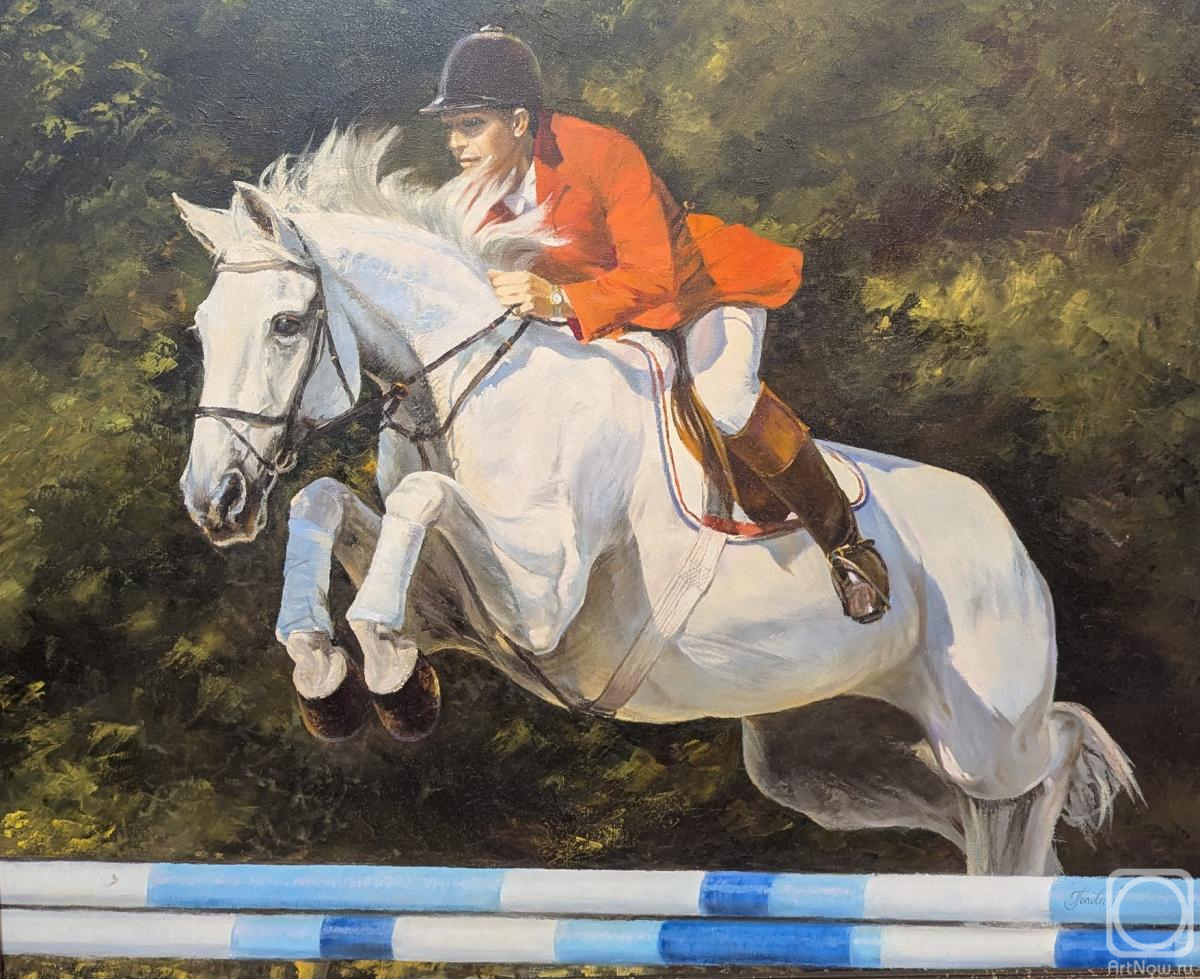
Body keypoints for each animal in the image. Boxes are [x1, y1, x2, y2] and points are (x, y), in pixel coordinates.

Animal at [175, 128, 1138, 875]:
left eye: (286, 324)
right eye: (202, 328)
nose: (213, 499)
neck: (474, 381)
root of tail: (1007, 535)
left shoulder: (540, 605)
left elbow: (420, 494)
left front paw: (379, 665)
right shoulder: (462, 615)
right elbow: (326, 501)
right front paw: (329, 673)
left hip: (987, 735)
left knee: (1051, 755)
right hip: (812, 759)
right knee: (970, 823)